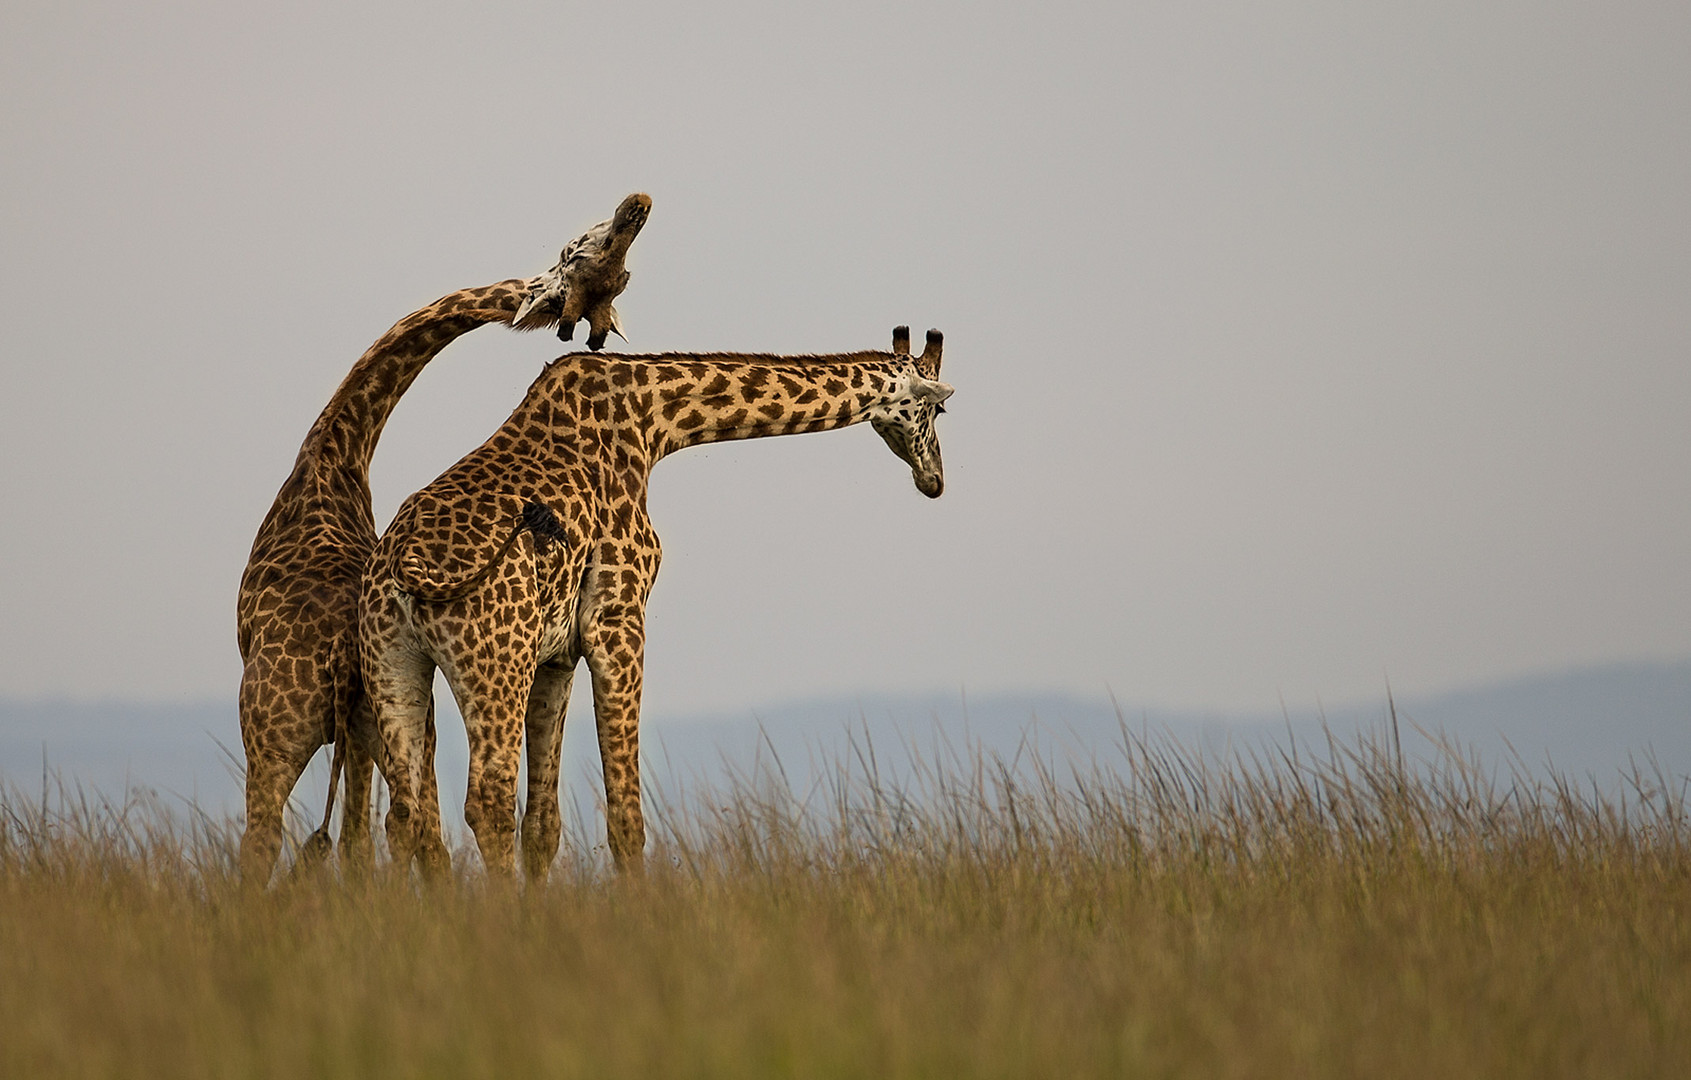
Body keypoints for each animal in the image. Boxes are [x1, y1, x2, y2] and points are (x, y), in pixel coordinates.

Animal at [238, 194, 652, 885]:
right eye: (579, 250)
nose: (634, 209)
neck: (336, 454)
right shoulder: (363, 725)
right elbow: (364, 835)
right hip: (375, 711)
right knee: (398, 824)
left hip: (281, 722)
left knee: (273, 836)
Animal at [358, 322, 953, 878]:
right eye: (938, 408)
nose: (936, 479)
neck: (654, 421)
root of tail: (404, 564)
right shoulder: (617, 619)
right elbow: (626, 819)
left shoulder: (555, 654)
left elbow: (545, 825)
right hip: (495, 662)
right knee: (488, 799)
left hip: (393, 662)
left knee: (405, 813)